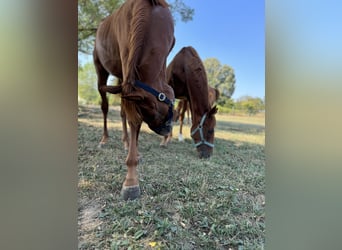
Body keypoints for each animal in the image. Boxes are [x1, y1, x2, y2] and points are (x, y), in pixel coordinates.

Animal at [93, 0, 175, 199]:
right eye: (153, 111)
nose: (165, 129)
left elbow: (130, 118)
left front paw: (134, 153)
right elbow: (132, 120)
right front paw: (131, 180)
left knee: (122, 111)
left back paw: (125, 141)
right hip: (101, 68)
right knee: (105, 106)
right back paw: (105, 139)